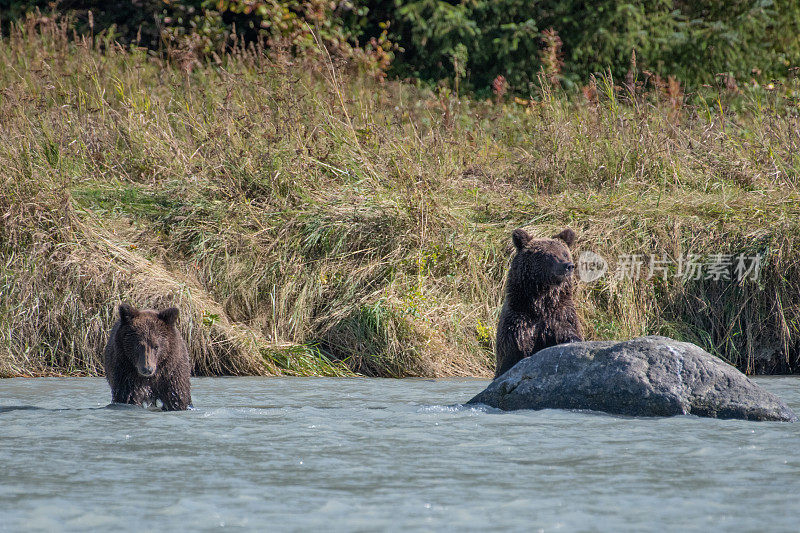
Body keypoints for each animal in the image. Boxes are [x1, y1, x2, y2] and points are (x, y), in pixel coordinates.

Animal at [494, 229, 580, 378]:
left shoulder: (561, 315)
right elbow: (518, 347)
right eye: (549, 255)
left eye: (564, 253)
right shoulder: (519, 320)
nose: (568, 266)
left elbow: (568, 333)